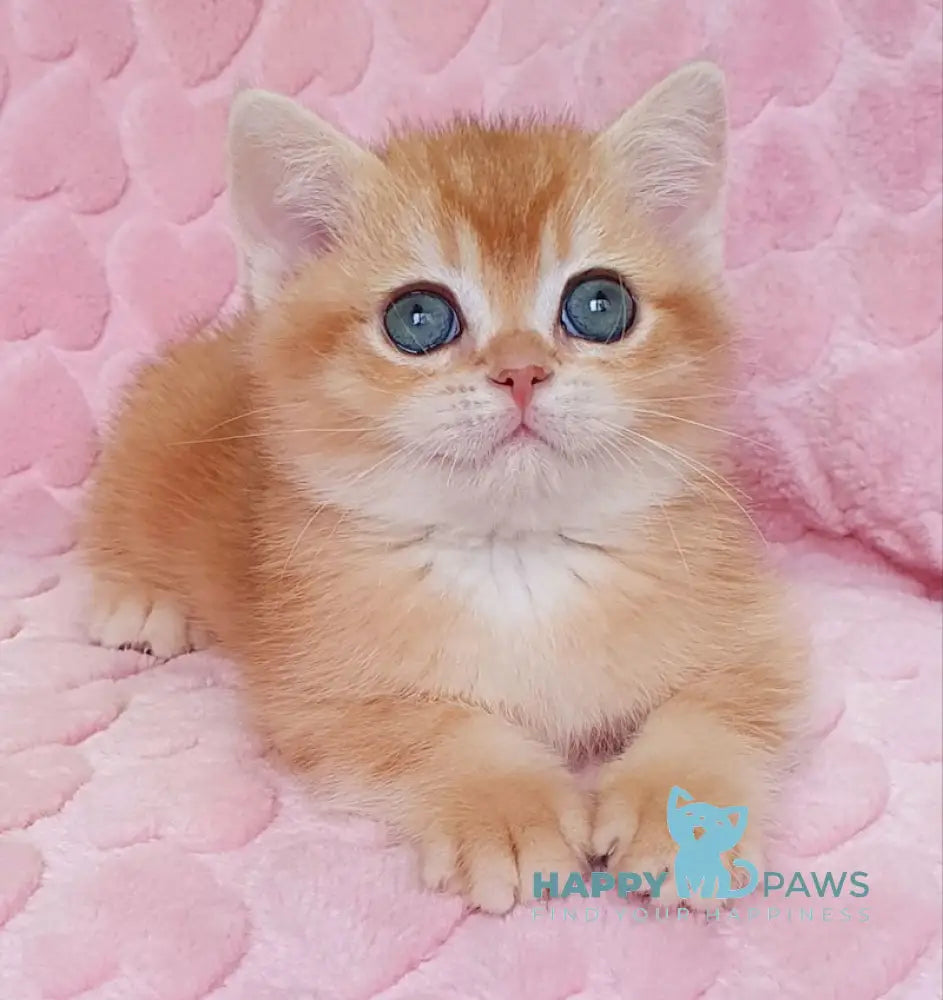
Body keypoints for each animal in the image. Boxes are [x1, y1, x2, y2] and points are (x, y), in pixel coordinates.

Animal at [77, 64, 808, 916]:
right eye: (418, 318)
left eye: (599, 305)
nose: (521, 371)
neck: (519, 558)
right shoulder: (318, 692)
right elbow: (434, 733)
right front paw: (509, 810)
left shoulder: (752, 634)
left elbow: (715, 707)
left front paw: (682, 814)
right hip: (145, 436)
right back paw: (139, 598)